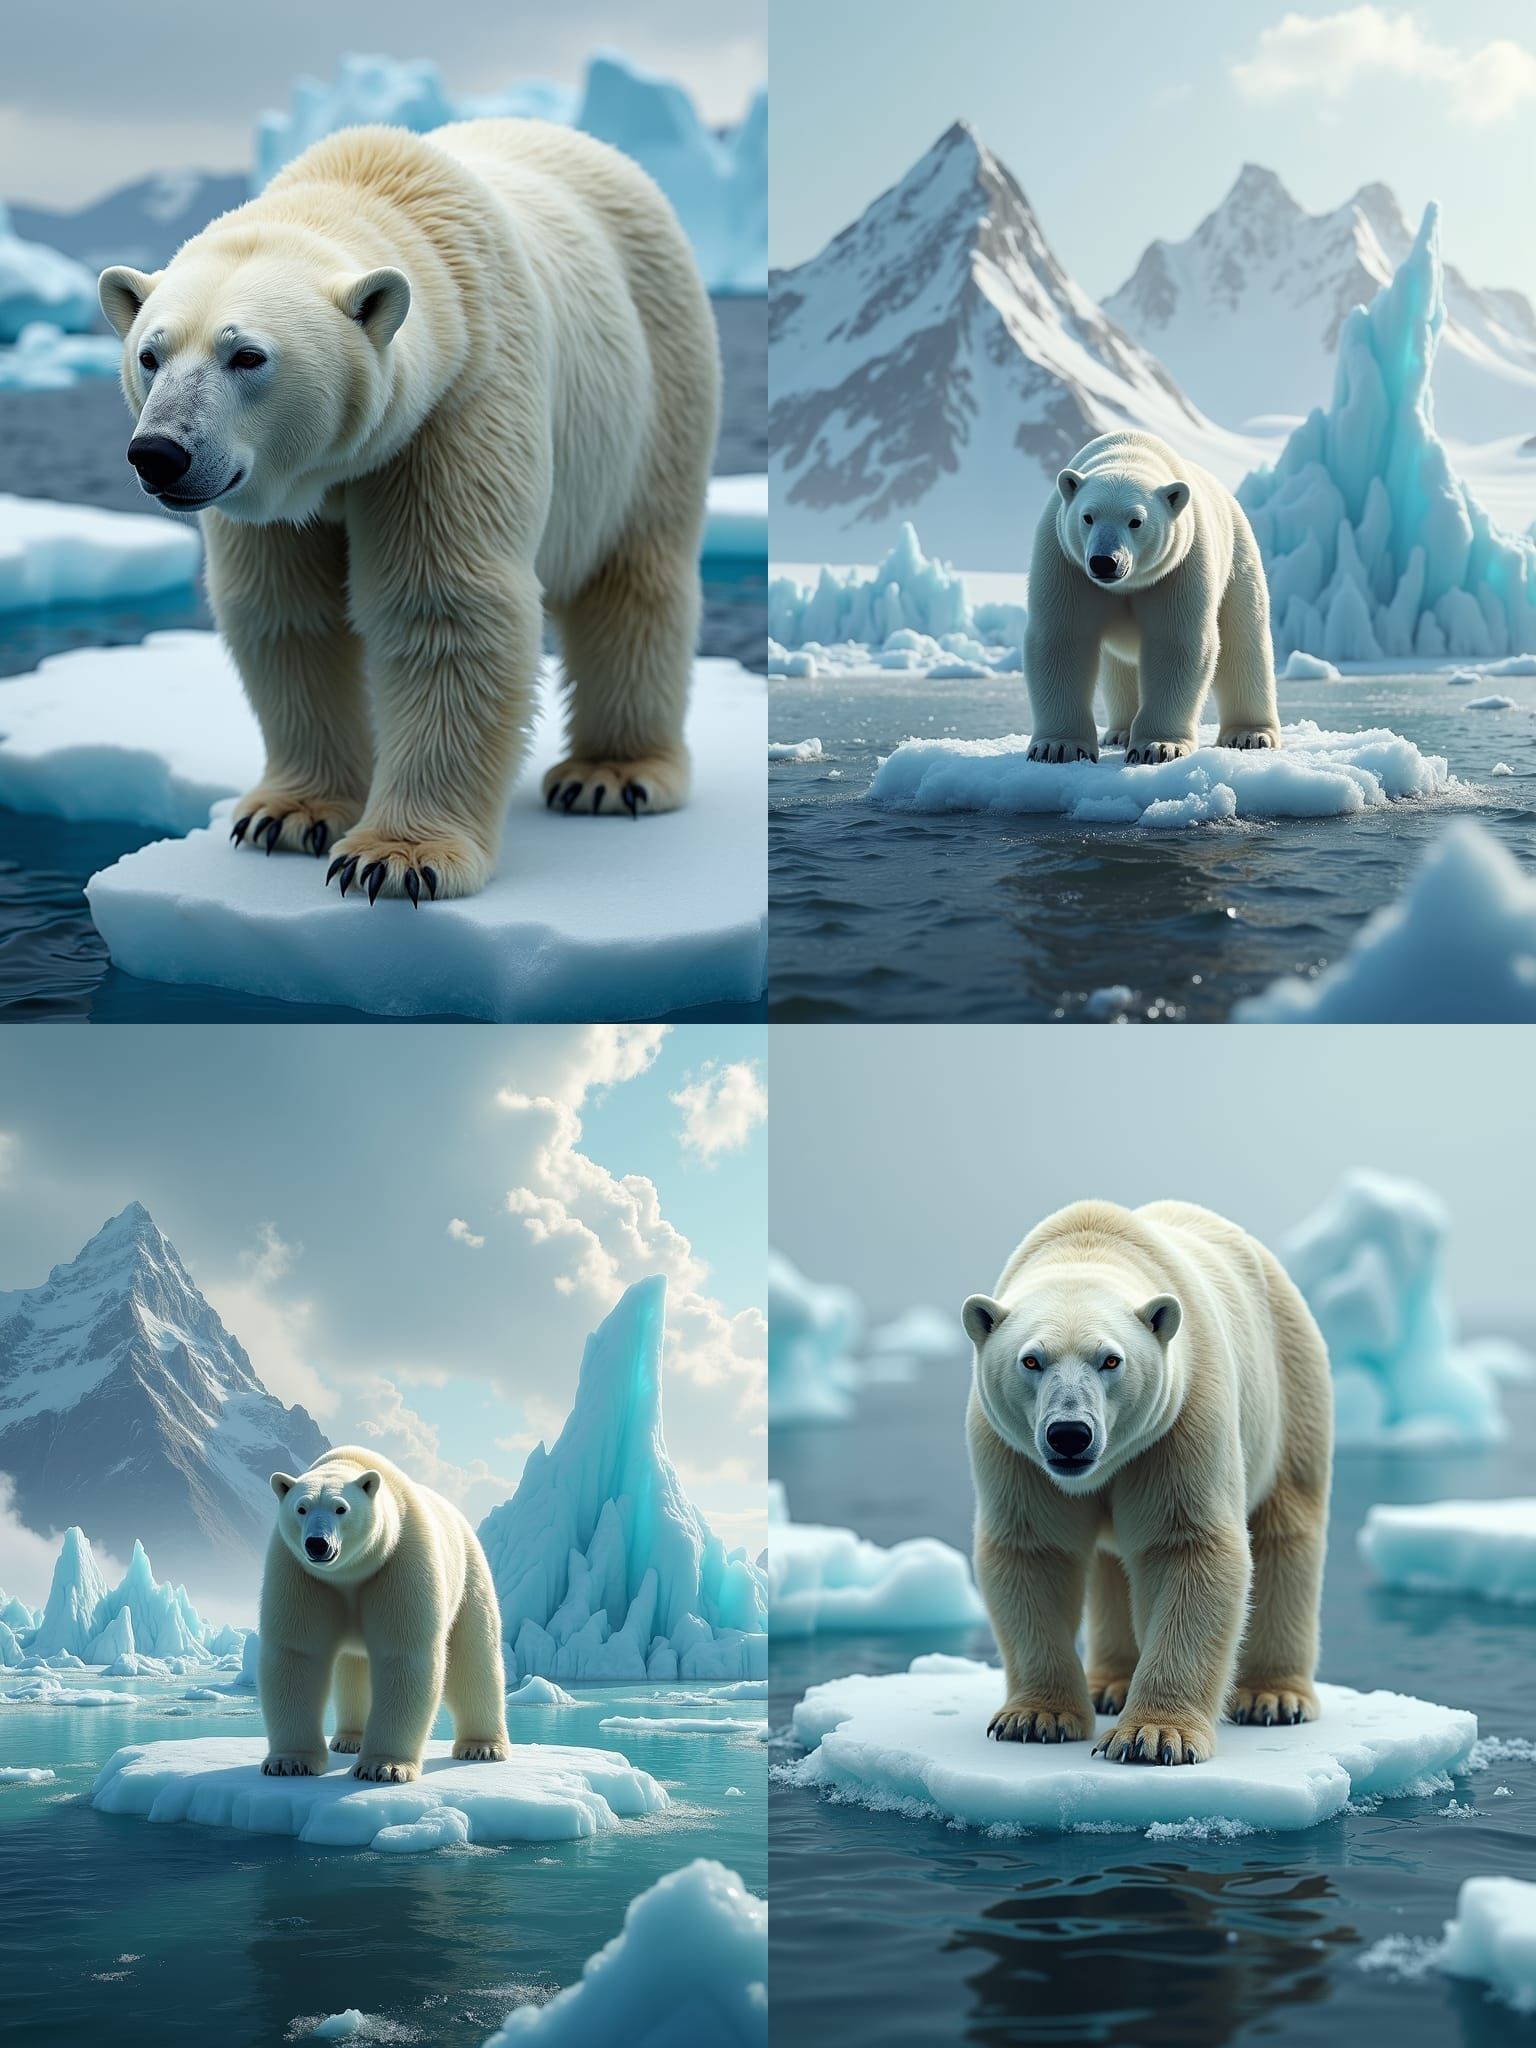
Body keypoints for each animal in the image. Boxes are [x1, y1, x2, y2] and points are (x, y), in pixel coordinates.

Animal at [98, 120, 720, 903]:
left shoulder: (457, 406)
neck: (370, 186)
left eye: (246, 356)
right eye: (150, 354)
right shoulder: (278, 500)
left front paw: (394, 859)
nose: (159, 453)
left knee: (635, 568)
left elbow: (444, 605)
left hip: (657, 383)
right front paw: (286, 816)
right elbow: (286, 611)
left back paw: (612, 775)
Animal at [258, 1446, 510, 1783]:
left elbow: (402, 1654)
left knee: (474, 1655)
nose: (317, 1544)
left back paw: (482, 1747)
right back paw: (348, 1739)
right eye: (301, 1508)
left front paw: (383, 1767)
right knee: (353, 1666)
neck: (350, 1573)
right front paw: (289, 1763)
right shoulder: (301, 1573)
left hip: (470, 1574)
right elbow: (297, 1653)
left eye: (341, 1508)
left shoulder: (400, 1559)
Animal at [961, 1199, 1332, 1765]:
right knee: (1111, 1564)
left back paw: (1272, 1697)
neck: (1086, 1244)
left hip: (1290, 1387)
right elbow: (1034, 1549)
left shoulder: (1180, 1420)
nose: (1070, 1434)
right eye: (1031, 1359)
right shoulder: (1014, 1452)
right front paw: (1035, 1718)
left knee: (1286, 1526)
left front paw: (1152, 1737)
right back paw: (1109, 1684)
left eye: (1111, 1359)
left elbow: (1186, 1544)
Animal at [1022, 430, 1281, 765]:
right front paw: (1057, 747)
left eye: (1136, 521)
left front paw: (1157, 747)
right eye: (1087, 516)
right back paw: (1119, 732)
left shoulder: (1179, 566)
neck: (1130, 451)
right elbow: (1062, 637)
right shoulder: (1066, 562)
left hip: (1239, 555)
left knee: (1244, 640)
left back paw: (1250, 734)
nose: (1104, 562)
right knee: (1119, 666)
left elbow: (1176, 641)